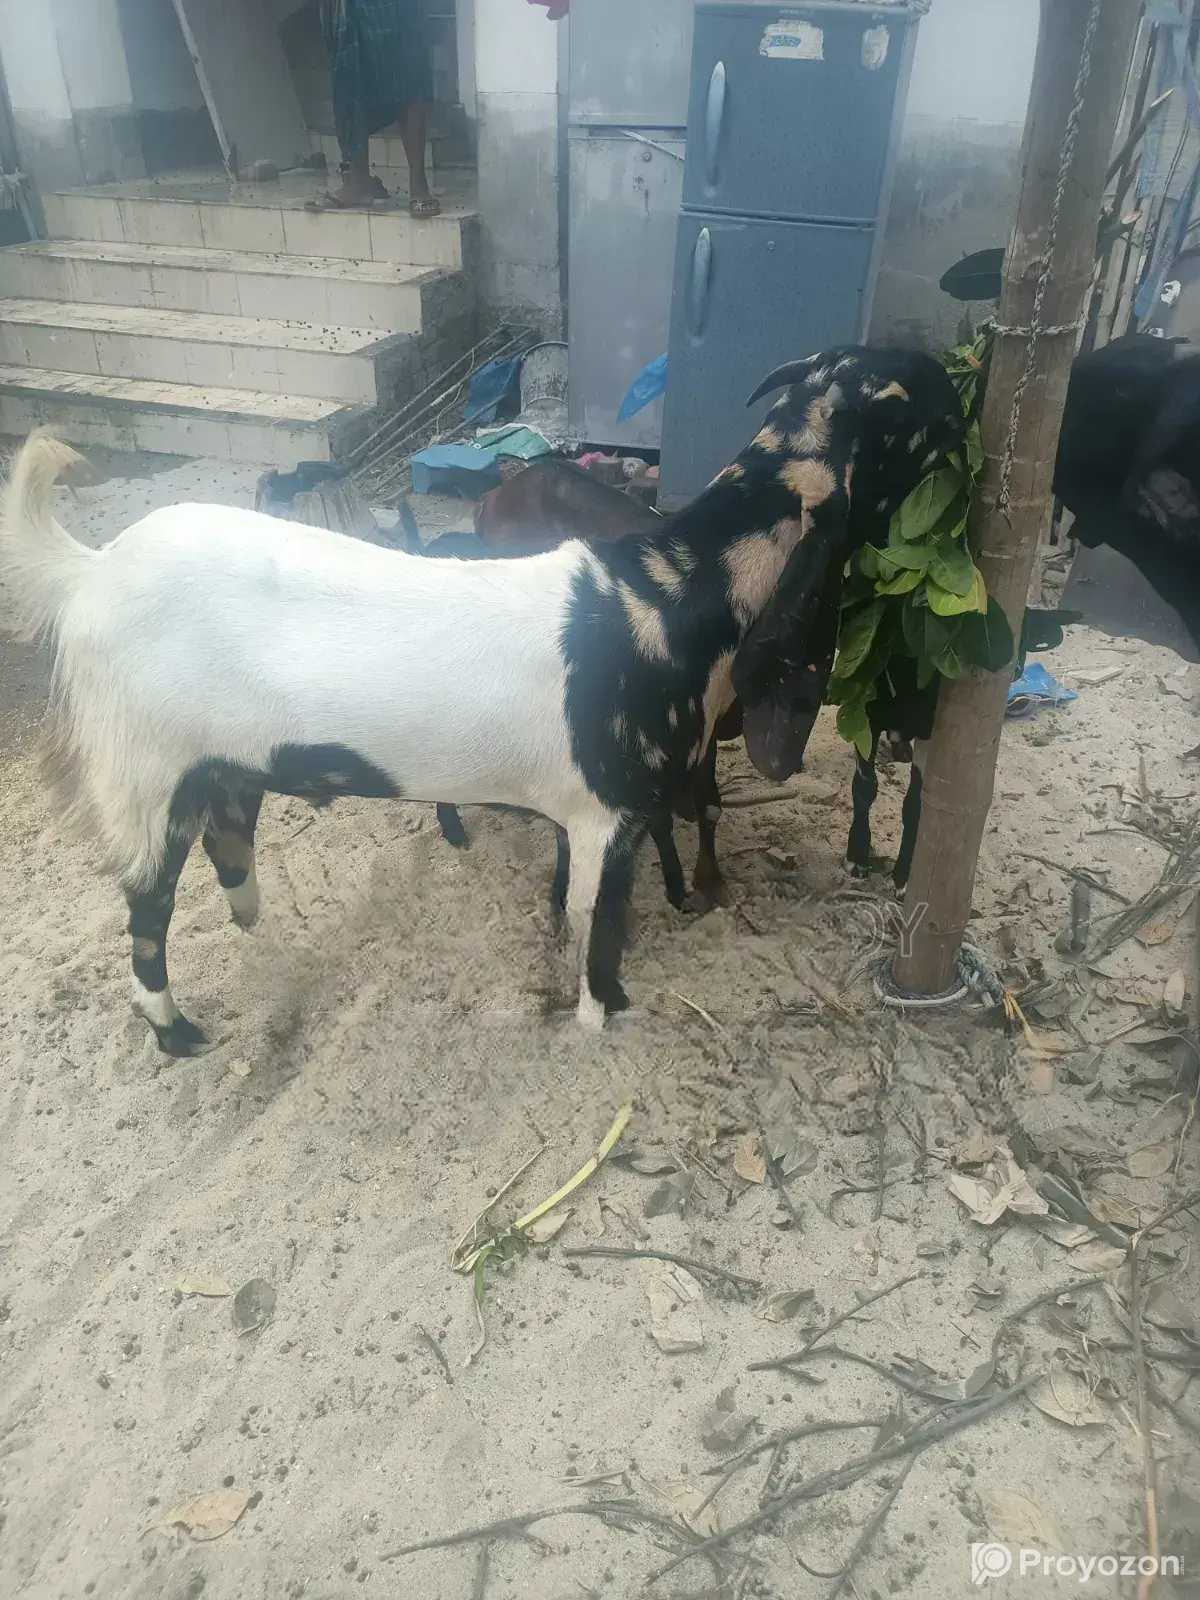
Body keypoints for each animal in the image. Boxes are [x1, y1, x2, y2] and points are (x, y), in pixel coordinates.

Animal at [0, 350, 962, 1055]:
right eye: (932, 412)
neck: (667, 595)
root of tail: (88, 569)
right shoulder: (606, 813)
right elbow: (599, 924)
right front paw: (603, 1015)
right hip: (141, 769)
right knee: (146, 907)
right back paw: (180, 1034)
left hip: (223, 763)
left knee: (227, 843)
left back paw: (258, 941)